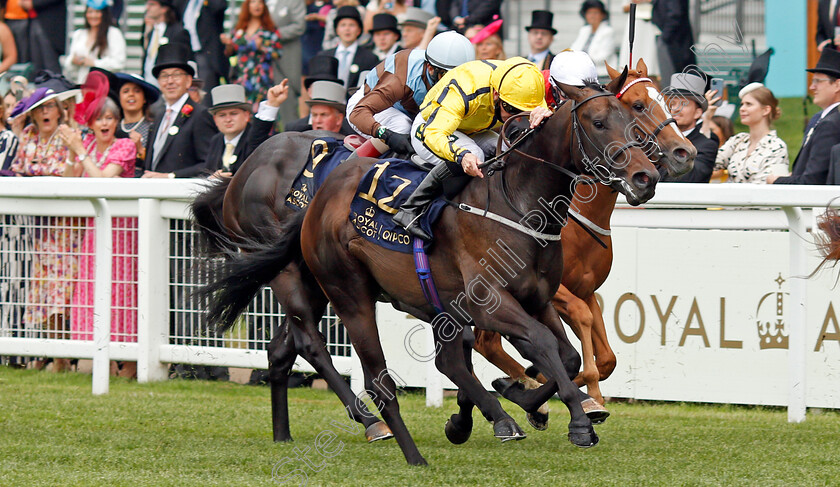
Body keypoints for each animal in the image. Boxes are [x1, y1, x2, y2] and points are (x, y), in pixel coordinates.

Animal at [472, 58, 696, 420]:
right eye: (637, 105)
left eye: (664, 99)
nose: (685, 153)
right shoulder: (556, 291)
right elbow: (581, 319)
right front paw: (584, 395)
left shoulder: (587, 289)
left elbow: (607, 357)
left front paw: (575, 389)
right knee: (486, 342)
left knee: (486, 343)